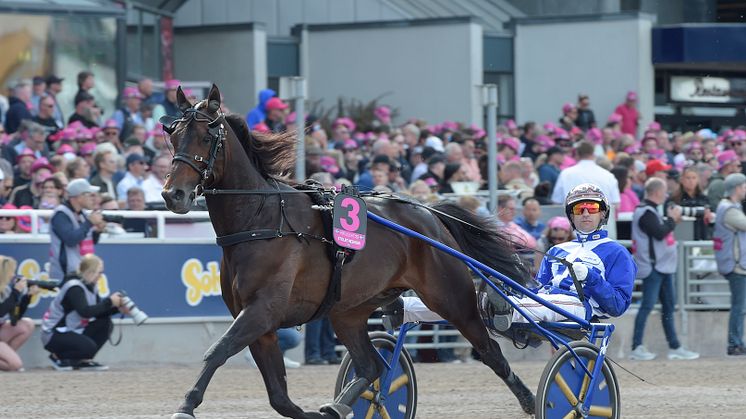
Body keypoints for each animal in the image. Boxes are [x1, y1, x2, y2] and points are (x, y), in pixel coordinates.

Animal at [161, 83, 536, 418]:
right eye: (173, 136)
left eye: (206, 137)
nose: (172, 194)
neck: (261, 219)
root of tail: (430, 214)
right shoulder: (261, 324)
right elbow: (279, 396)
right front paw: (318, 413)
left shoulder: (262, 311)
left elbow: (217, 350)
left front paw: (185, 406)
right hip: (349, 310)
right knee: (370, 366)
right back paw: (341, 404)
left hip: (453, 298)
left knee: (489, 351)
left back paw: (532, 400)